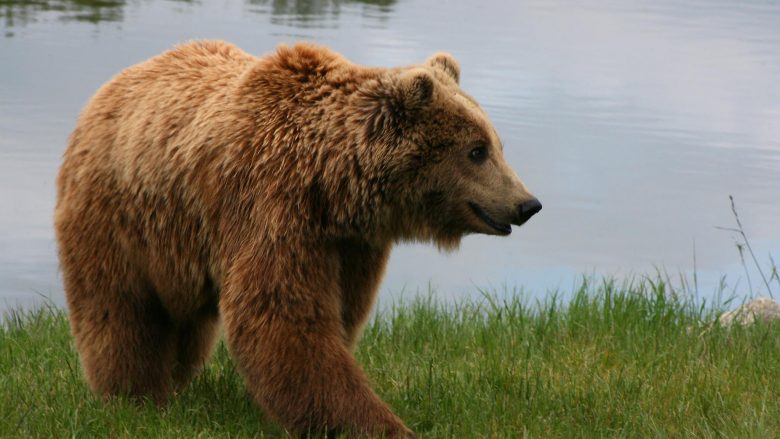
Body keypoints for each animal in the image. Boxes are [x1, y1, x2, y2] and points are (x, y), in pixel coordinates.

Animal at [54, 40, 540, 436]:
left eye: (496, 144)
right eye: (476, 150)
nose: (527, 204)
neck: (331, 184)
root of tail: (109, 88)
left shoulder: (350, 245)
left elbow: (338, 314)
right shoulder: (271, 205)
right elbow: (284, 317)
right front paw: (378, 424)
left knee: (185, 323)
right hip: (119, 216)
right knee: (120, 308)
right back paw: (133, 396)